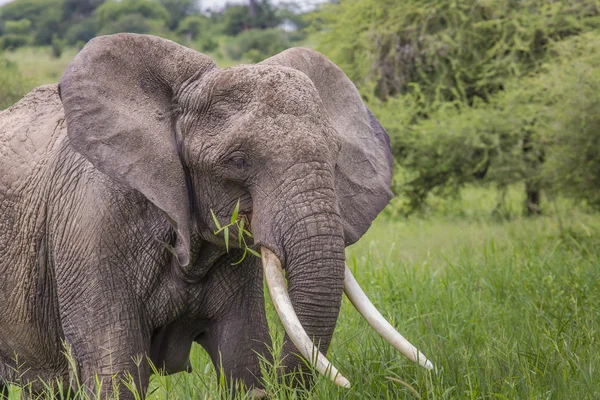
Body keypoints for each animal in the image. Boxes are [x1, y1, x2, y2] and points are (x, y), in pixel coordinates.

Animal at [0, 33, 432, 396]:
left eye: (334, 156)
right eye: (238, 161)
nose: (284, 386)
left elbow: (244, 353)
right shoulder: (92, 225)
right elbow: (115, 369)